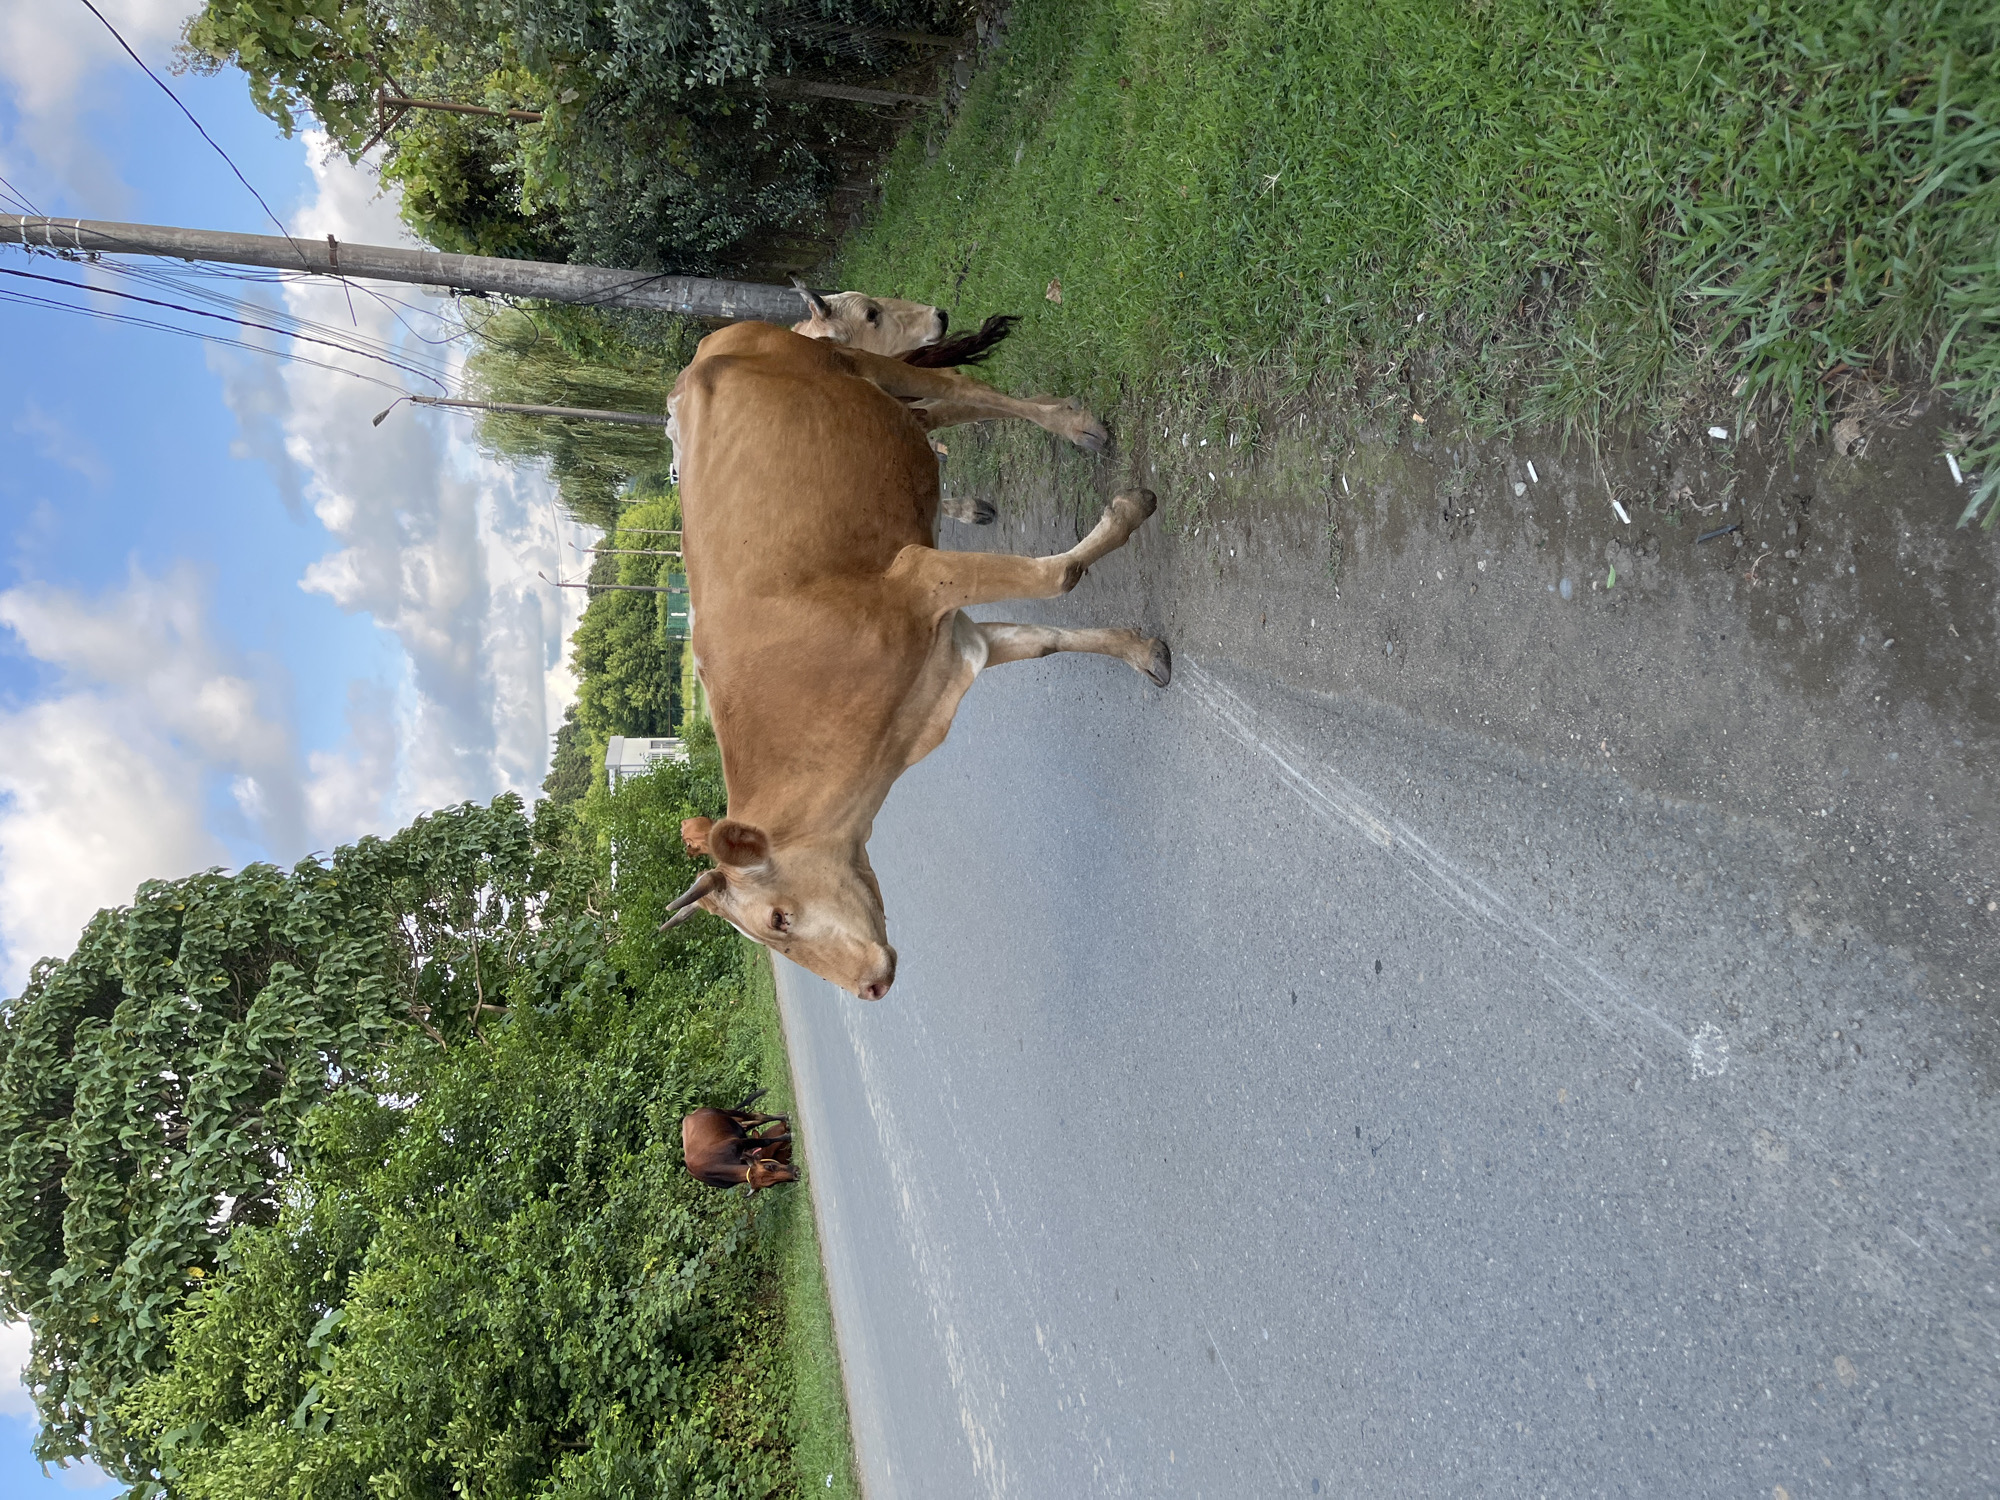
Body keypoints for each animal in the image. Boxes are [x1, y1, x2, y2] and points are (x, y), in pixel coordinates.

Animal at [658, 318, 1167, 1001]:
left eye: (778, 919)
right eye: (772, 941)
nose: (867, 991)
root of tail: (705, 350)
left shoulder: (921, 579)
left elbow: (1058, 576)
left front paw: (1129, 509)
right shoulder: (957, 648)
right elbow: (1044, 638)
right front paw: (1139, 649)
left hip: (851, 361)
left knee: (959, 386)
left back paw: (1073, 425)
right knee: (939, 409)